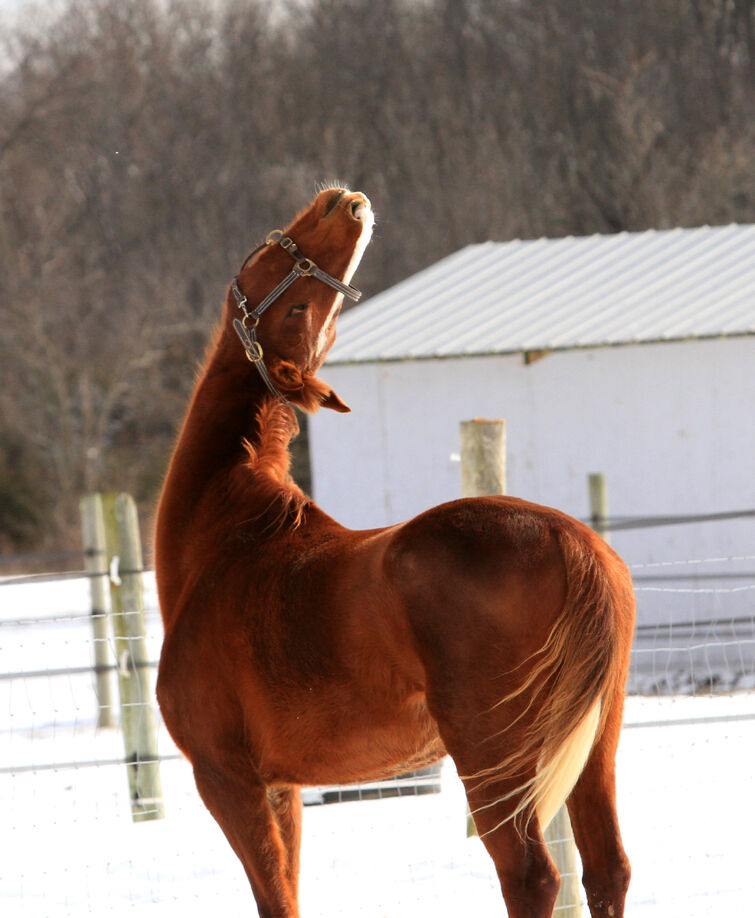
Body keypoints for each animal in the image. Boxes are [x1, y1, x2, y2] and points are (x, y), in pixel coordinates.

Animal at [157, 189, 636, 918]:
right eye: (299, 312)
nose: (343, 203)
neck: (224, 544)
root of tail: (570, 541)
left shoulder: (227, 779)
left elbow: (274, 901)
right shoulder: (281, 787)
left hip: (489, 753)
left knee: (531, 875)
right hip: (593, 742)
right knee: (606, 868)